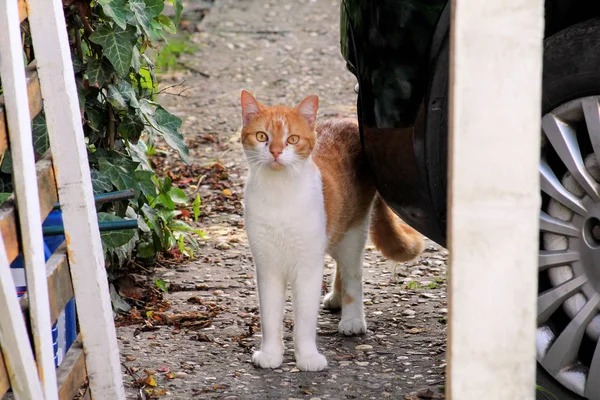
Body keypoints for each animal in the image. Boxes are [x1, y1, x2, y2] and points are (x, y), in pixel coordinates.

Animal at [238, 90, 422, 372]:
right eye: (262, 136)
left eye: (292, 139)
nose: (276, 152)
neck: (279, 195)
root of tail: (349, 120)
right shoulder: (267, 266)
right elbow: (269, 316)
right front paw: (271, 354)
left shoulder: (307, 267)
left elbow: (304, 320)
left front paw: (307, 357)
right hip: (335, 233)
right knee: (340, 268)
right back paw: (336, 296)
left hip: (353, 232)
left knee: (353, 275)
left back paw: (352, 319)